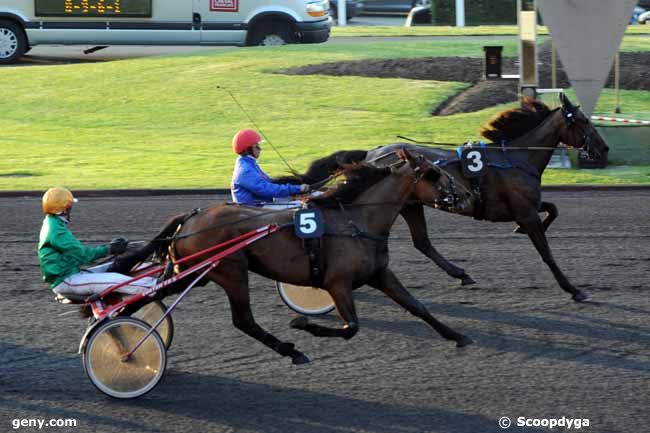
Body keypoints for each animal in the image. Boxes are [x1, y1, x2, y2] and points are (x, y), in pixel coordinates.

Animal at [132, 148, 468, 364]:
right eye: (434, 173)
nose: (466, 195)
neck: (356, 221)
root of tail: (190, 217)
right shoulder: (338, 283)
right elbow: (351, 327)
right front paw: (303, 323)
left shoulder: (379, 274)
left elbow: (417, 306)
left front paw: (456, 335)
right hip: (231, 272)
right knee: (244, 321)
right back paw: (291, 351)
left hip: (196, 272)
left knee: (153, 294)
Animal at [274, 94, 608, 300]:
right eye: (584, 122)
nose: (603, 150)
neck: (514, 158)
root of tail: (372, 153)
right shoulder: (524, 210)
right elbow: (546, 250)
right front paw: (573, 289)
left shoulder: (524, 208)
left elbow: (552, 209)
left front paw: (520, 231)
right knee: (421, 242)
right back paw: (459, 273)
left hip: (410, 204)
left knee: (423, 242)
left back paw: (460, 273)